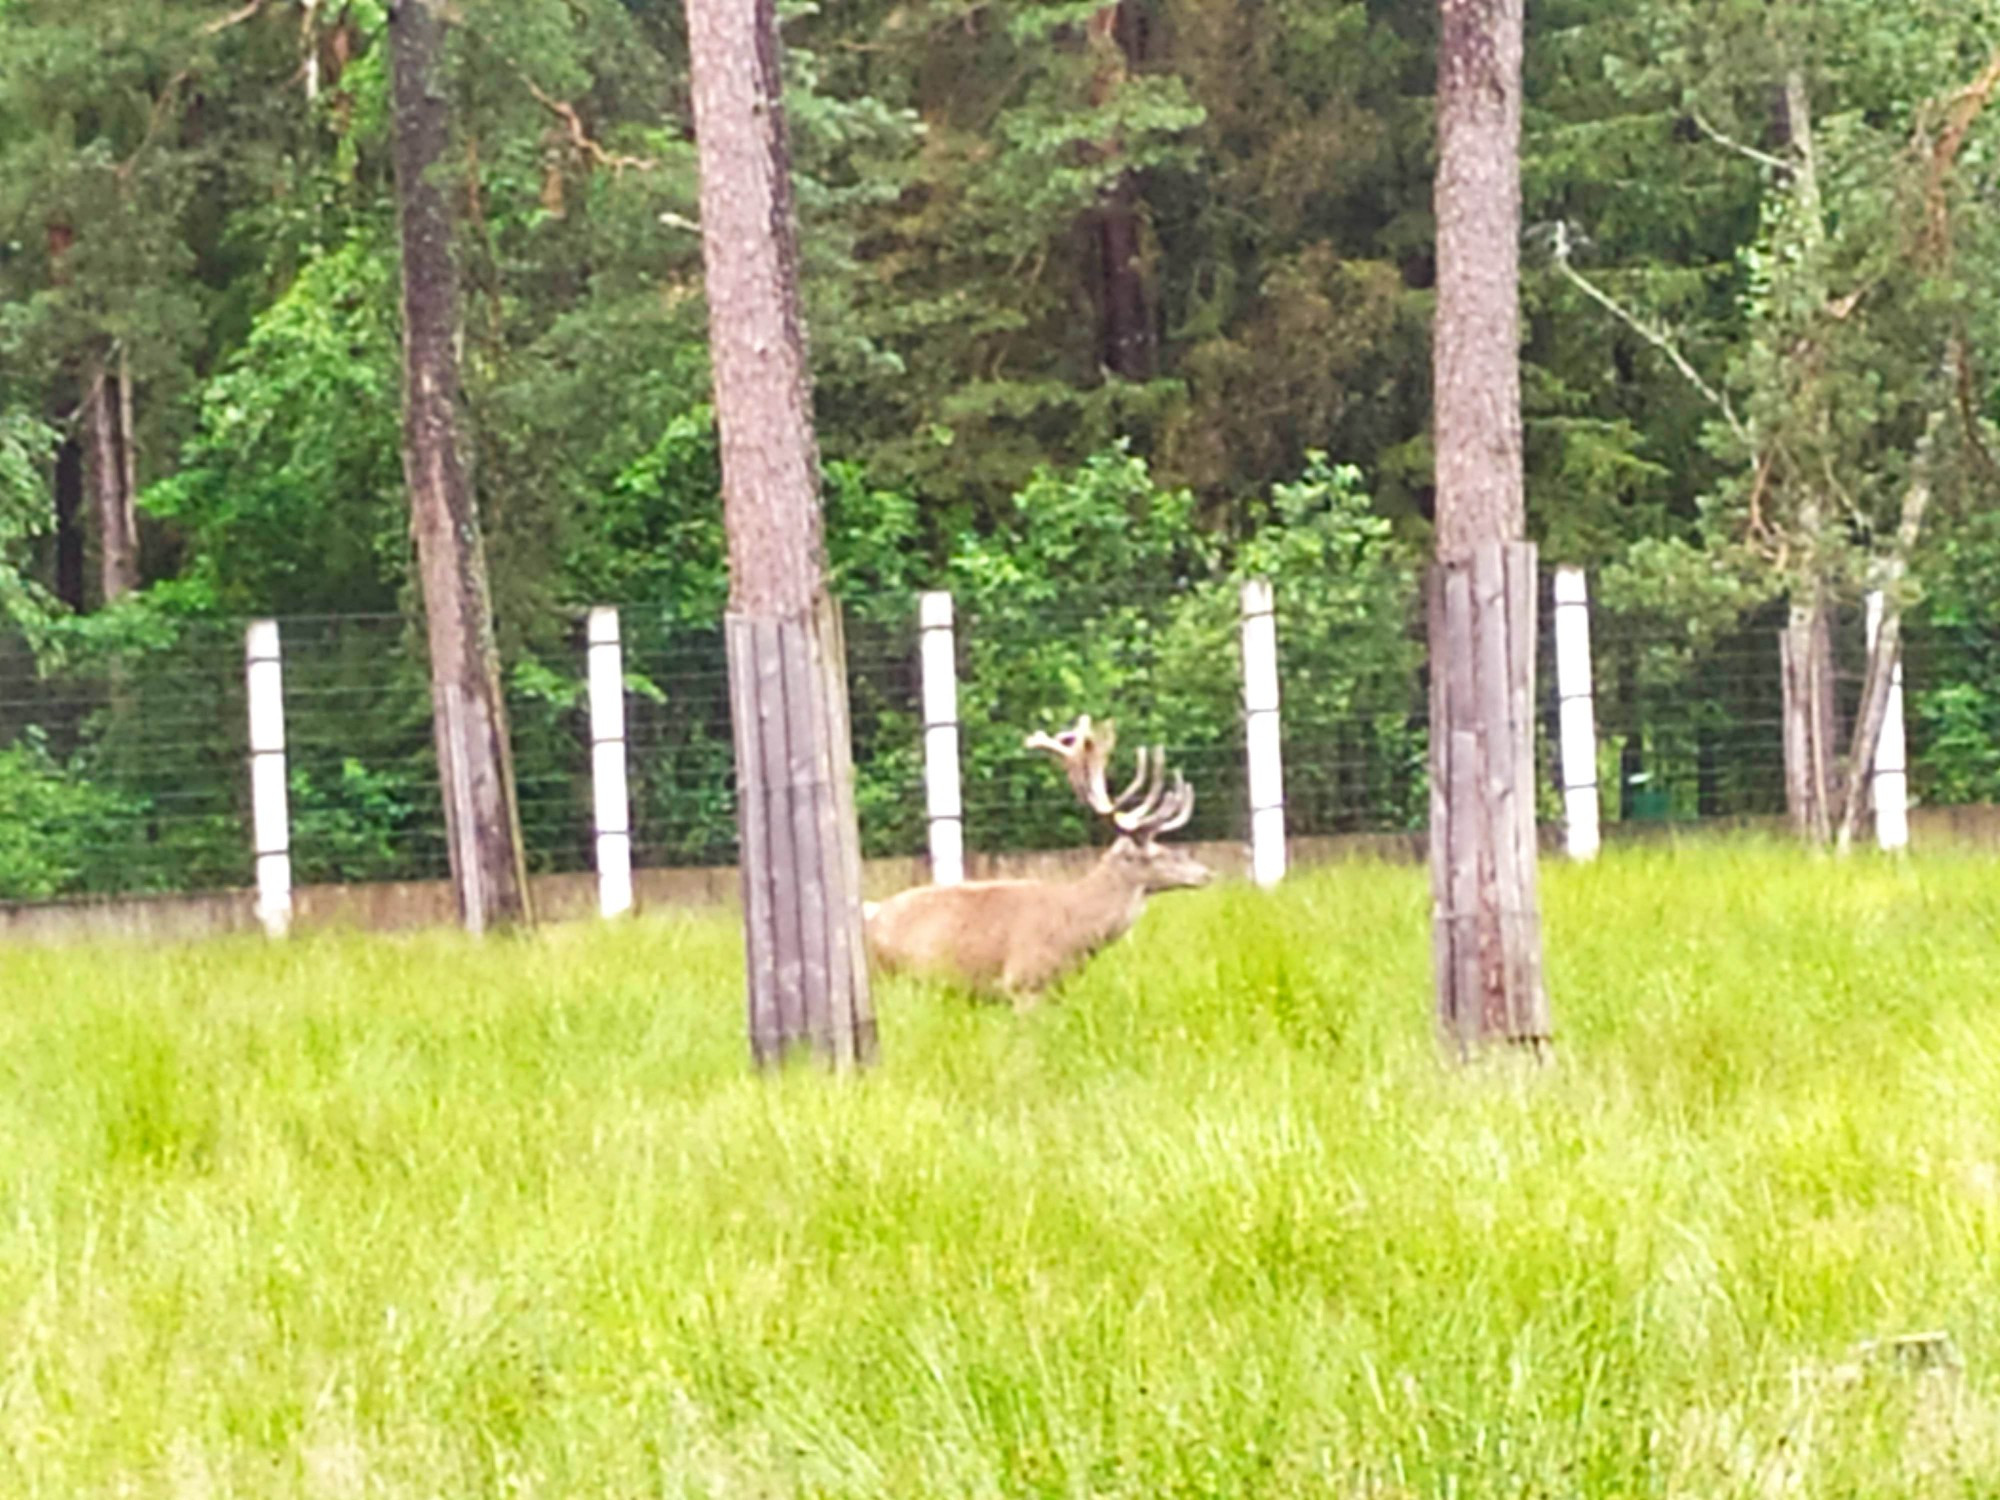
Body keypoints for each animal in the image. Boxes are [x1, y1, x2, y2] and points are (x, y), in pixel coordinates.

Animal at [856, 716, 1200, 1012]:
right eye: (1157, 853)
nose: (1204, 872)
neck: (1075, 930)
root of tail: (870, 915)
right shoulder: (1024, 983)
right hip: (888, 979)